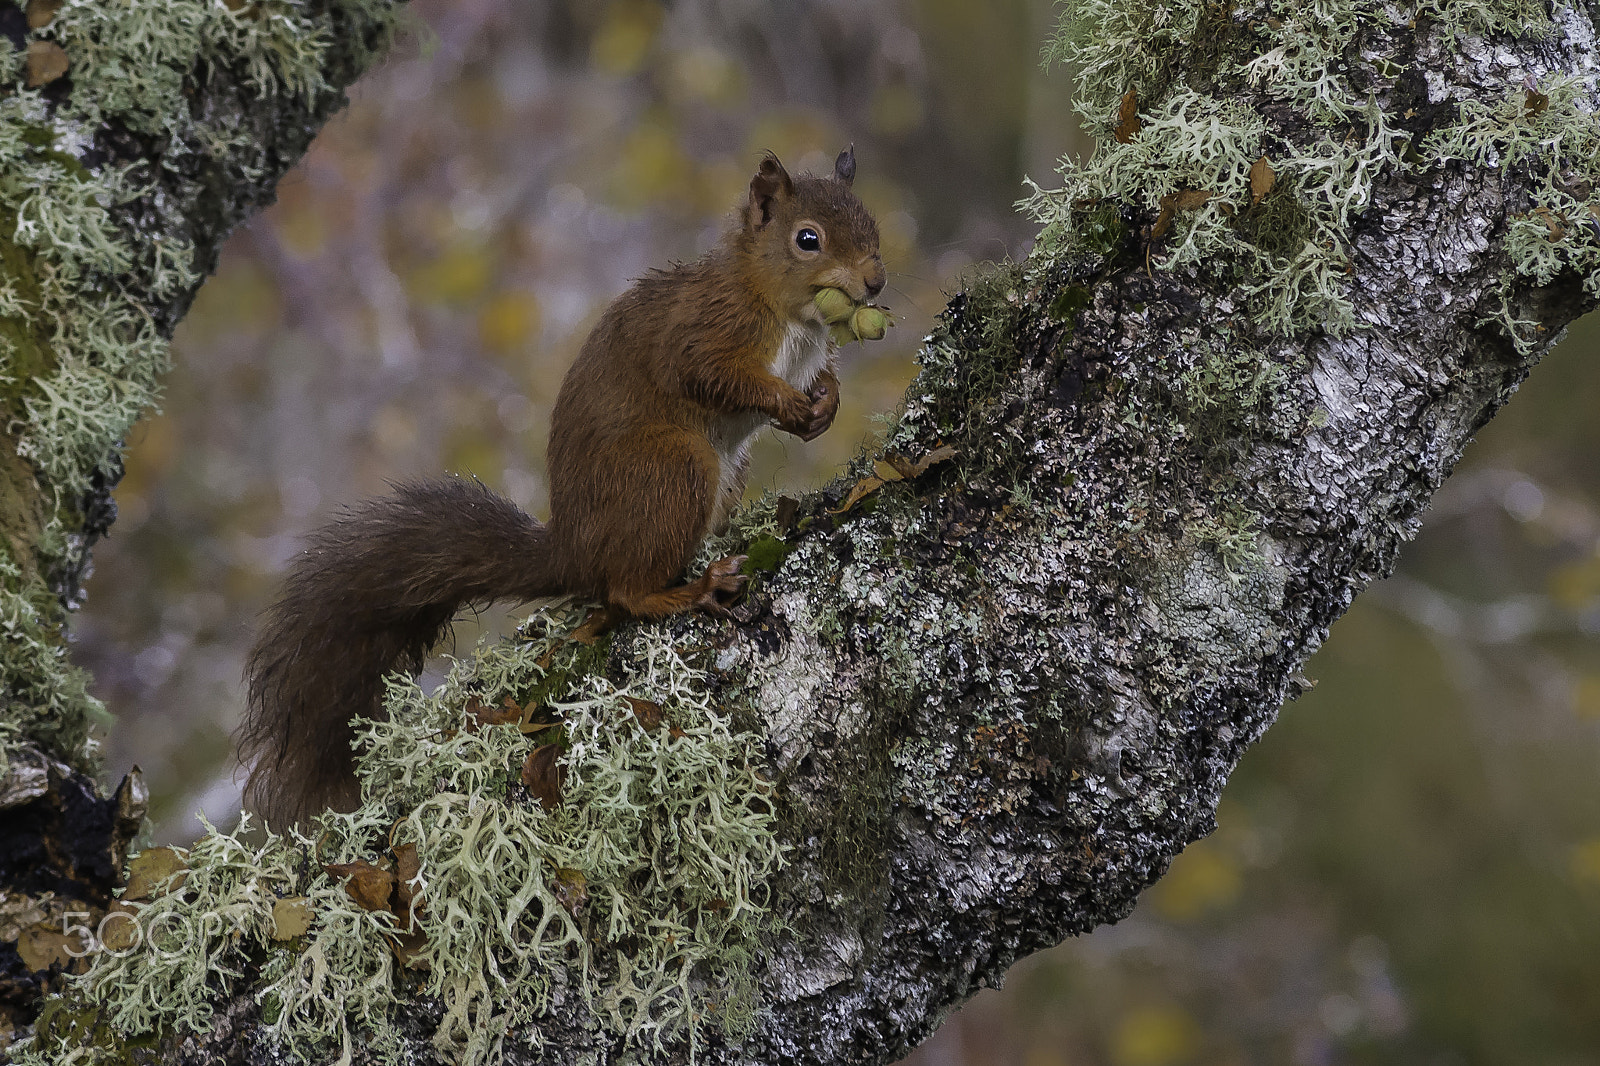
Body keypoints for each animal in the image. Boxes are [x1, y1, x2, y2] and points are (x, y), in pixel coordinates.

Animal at [240, 145, 889, 819]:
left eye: (870, 222)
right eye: (807, 239)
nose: (876, 281)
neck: (783, 308)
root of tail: (574, 549)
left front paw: (824, 404)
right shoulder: (705, 332)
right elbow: (713, 373)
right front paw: (787, 403)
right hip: (675, 467)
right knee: (624, 592)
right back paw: (691, 590)